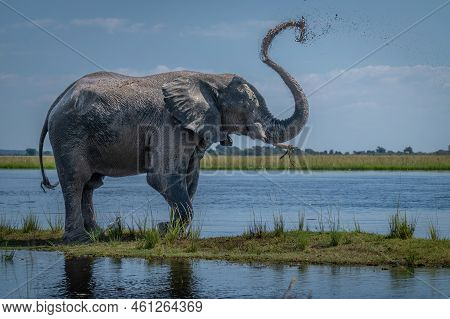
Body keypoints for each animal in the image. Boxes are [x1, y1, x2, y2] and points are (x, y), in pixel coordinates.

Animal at [38, 19, 310, 242]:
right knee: (76, 180)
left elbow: (189, 179)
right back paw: (79, 240)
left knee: (90, 184)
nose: (297, 26)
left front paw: (171, 231)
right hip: (68, 133)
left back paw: (96, 234)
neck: (209, 78)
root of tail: (58, 100)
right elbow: (163, 177)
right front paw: (163, 230)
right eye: (248, 107)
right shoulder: (169, 124)